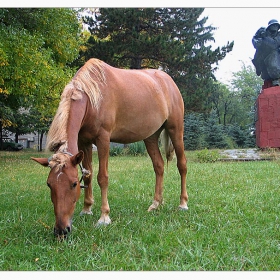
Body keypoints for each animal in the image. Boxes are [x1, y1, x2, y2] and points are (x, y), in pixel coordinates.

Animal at [31, 58, 188, 237]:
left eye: (73, 184)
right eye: (49, 184)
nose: (61, 230)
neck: (92, 98)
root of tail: (169, 81)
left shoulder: (103, 140)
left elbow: (102, 177)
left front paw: (104, 217)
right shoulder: (84, 142)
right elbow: (88, 175)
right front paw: (87, 209)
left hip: (176, 130)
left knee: (182, 165)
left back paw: (183, 203)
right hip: (151, 137)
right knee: (159, 166)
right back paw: (156, 204)